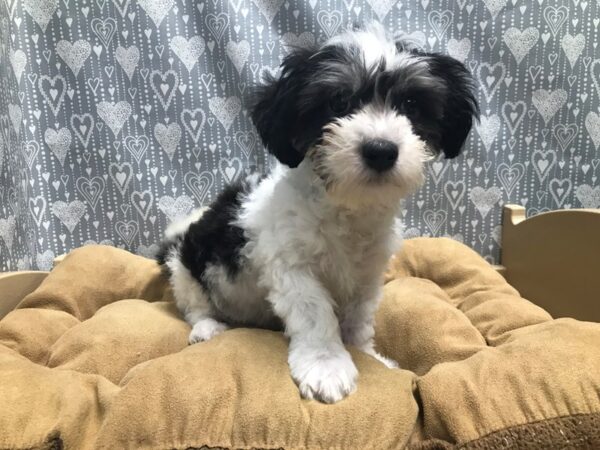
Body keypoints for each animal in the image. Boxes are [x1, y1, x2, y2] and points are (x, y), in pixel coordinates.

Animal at [159, 22, 478, 404]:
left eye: (411, 104)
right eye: (338, 102)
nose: (381, 150)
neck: (347, 207)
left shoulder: (367, 274)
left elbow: (359, 317)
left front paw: (367, 354)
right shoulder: (292, 267)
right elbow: (315, 313)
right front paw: (327, 365)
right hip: (188, 268)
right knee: (195, 306)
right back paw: (207, 328)